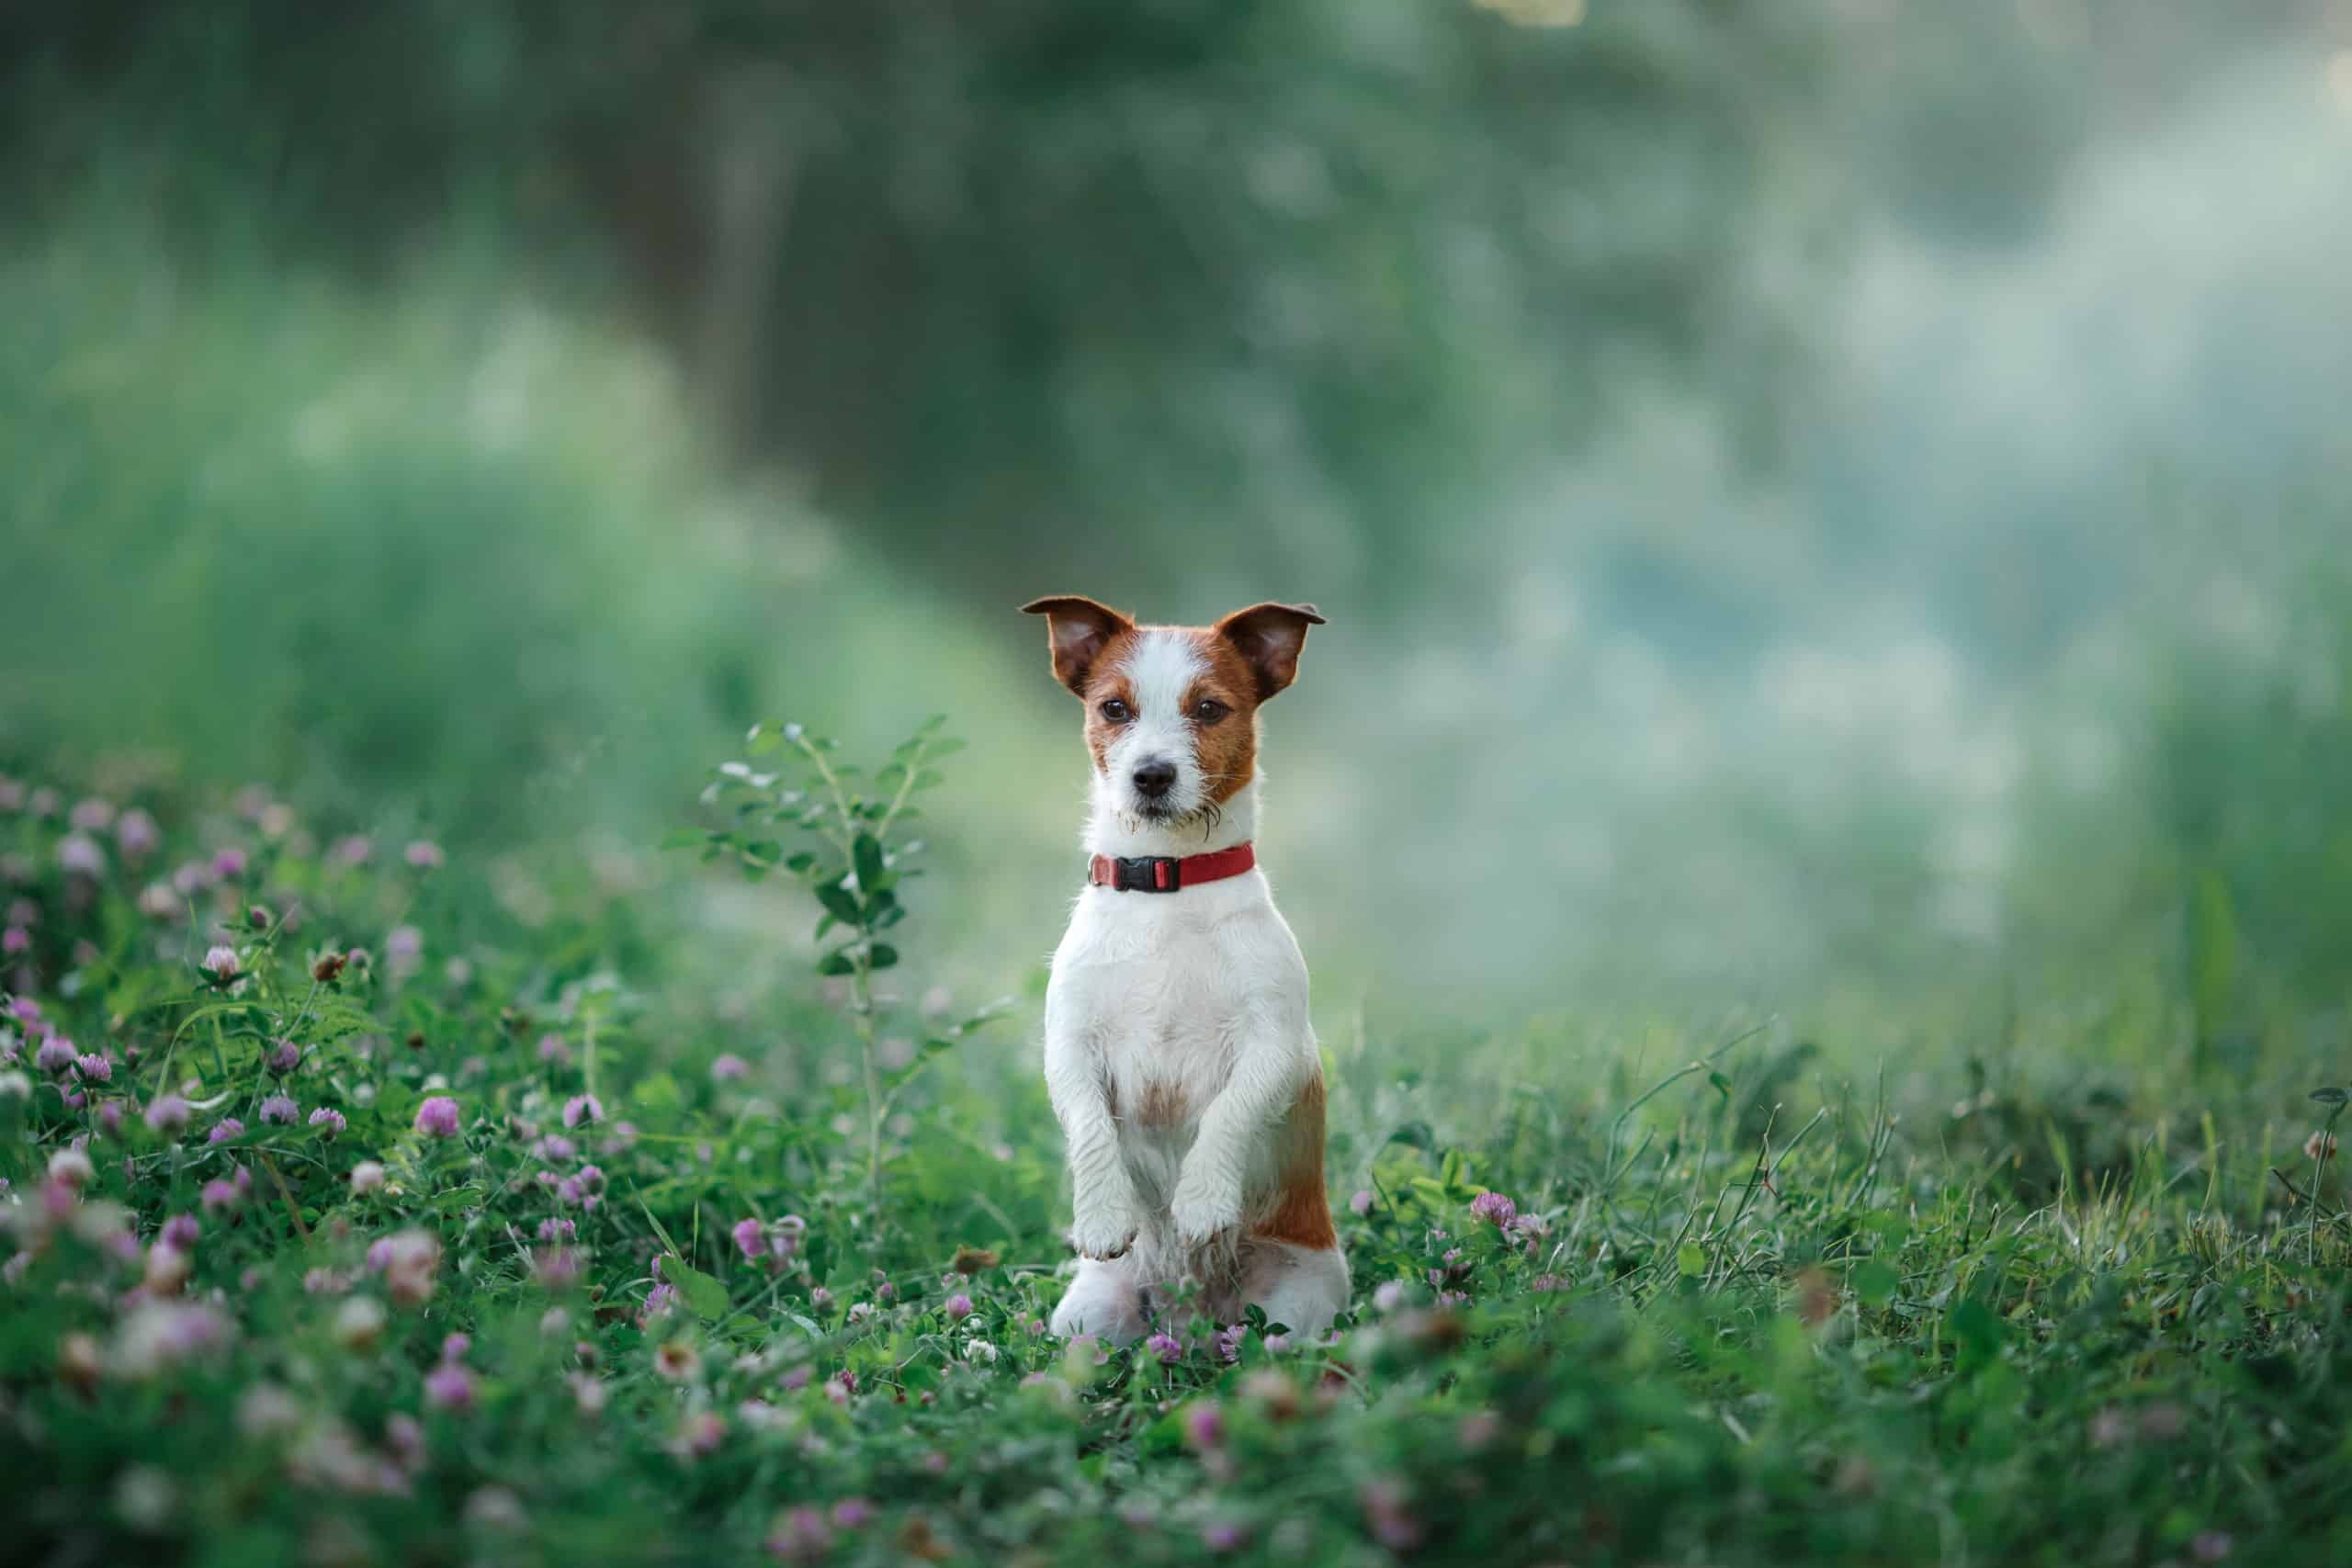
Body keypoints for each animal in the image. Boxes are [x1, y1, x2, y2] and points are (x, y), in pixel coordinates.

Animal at [1021, 594, 1354, 1344]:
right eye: (1114, 708)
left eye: (1209, 709)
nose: (1152, 774)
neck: (1165, 887)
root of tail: (1192, 1312)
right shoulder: (1070, 1044)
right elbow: (1087, 1122)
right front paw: (1101, 1213)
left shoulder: (1274, 1044)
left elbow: (1230, 1111)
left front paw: (1201, 1199)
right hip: (1089, 1316)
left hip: (1296, 1307)